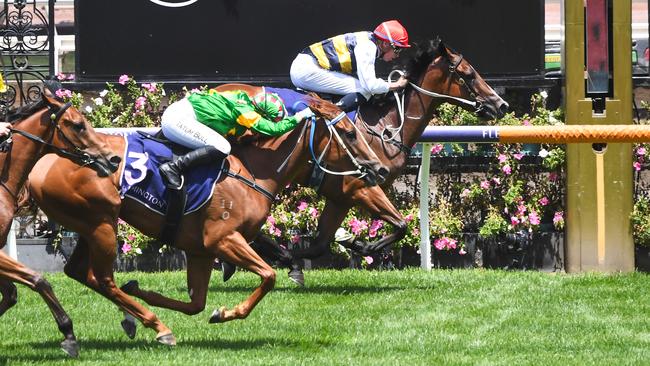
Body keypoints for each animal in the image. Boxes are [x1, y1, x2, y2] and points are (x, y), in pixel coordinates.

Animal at [27, 91, 388, 346]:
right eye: (349, 134)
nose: (380, 168)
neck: (253, 174)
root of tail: (43, 163)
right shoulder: (224, 239)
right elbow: (268, 276)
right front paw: (227, 311)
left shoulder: (200, 250)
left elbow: (196, 304)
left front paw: (142, 289)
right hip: (101, 223)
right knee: (102, 278)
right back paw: (155, 326)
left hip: (89, 225)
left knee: (82, 274)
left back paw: (135, 316)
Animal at [240, 37, 508, 284]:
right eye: (469, 75)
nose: (501, 104)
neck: (385, 128)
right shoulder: (363, 186)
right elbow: (401, 225)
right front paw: (358, 246)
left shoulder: (340, 196)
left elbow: (320, 244)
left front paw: (349, 244)